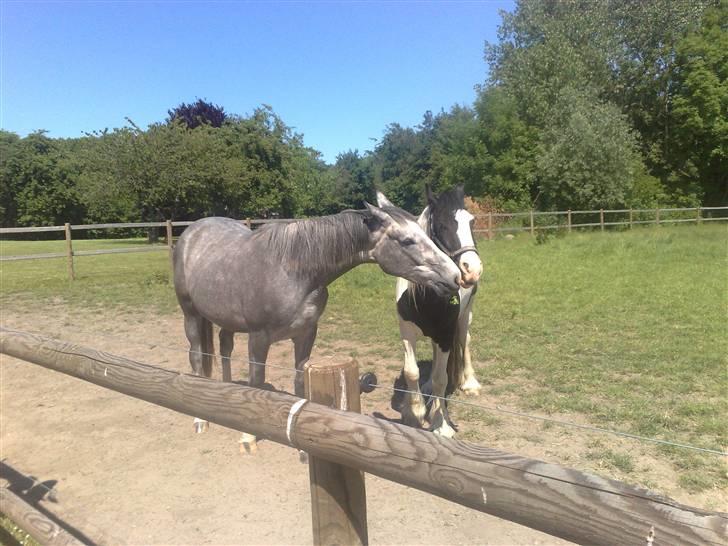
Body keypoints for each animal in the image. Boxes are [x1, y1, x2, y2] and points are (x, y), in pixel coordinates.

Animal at [382, 185, 484, 436]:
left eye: (472, 222)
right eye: (442, 225)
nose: (473, 270)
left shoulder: (446, 333)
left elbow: (442, 378)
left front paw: (440, 422)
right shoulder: (407, 332)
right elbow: (412, 371)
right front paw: (414, 412)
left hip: (464, 317)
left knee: (464, 341)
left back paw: (469, 383)